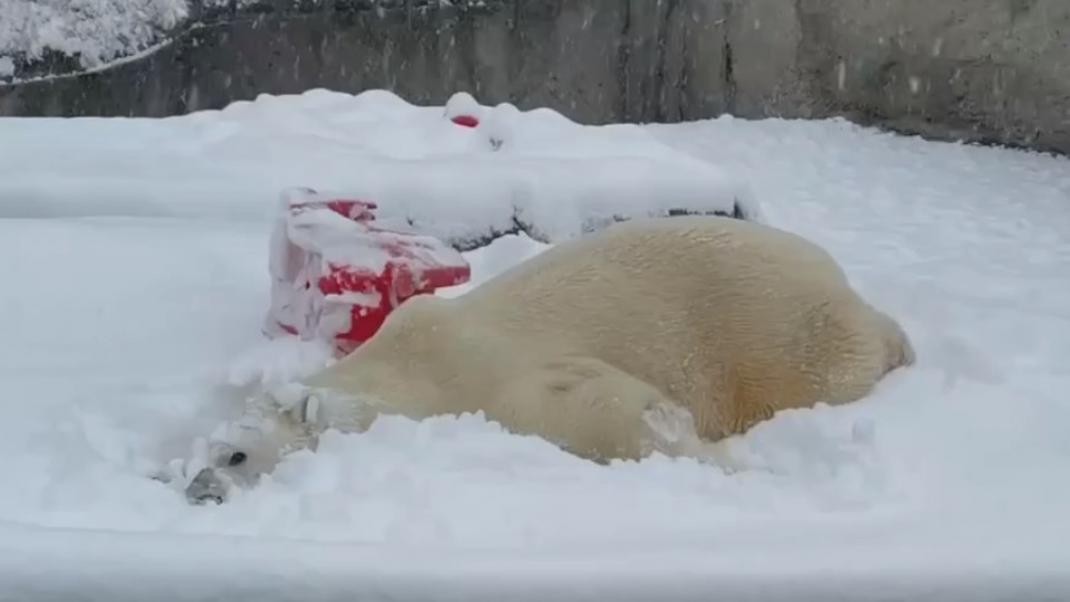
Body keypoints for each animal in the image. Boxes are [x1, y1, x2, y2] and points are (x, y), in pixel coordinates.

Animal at [184, 217, 911, 504]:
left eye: (236, 455)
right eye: (198, 458)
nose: (198, 491)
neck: (405, 365)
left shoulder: (484, 378)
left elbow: (600, 406)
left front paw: (715, 459)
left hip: (779, 330)